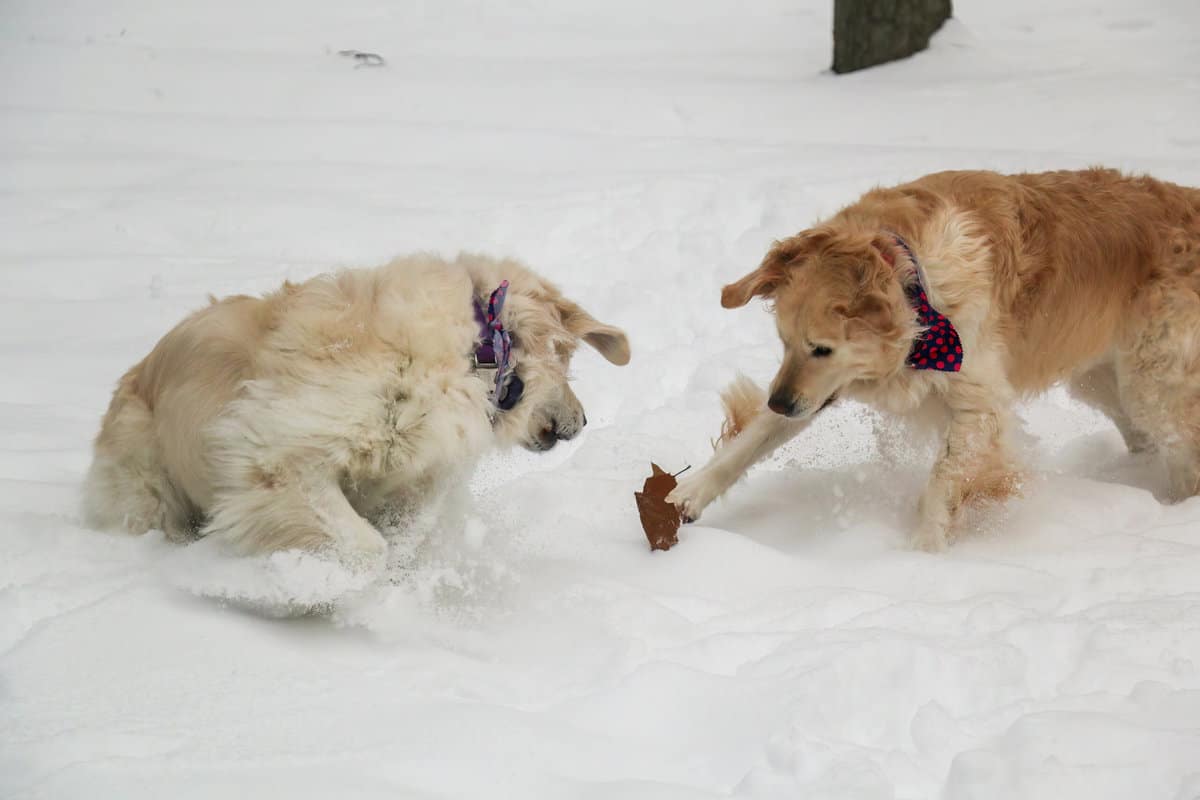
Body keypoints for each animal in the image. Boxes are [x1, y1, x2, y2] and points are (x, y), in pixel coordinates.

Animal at [82, 253, 628, 561]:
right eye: (569, 357)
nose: (584, 422)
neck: (477, 346)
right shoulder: (276, 456)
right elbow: (365, 547)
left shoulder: (415, 475)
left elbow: (404, 535)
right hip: (148, 487)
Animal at [672, 167, 1200, 551]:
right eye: (783, 341)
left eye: (822, 347)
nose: (780, 402)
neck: (918, 288)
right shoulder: (813, 390)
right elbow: (746, 445)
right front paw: (685, 497)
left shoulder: (979, 406)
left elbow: (942, 480)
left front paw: (923, 559)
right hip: (1101, 379)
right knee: (1143, 436)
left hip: (1152, 382)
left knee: (1182, 451)